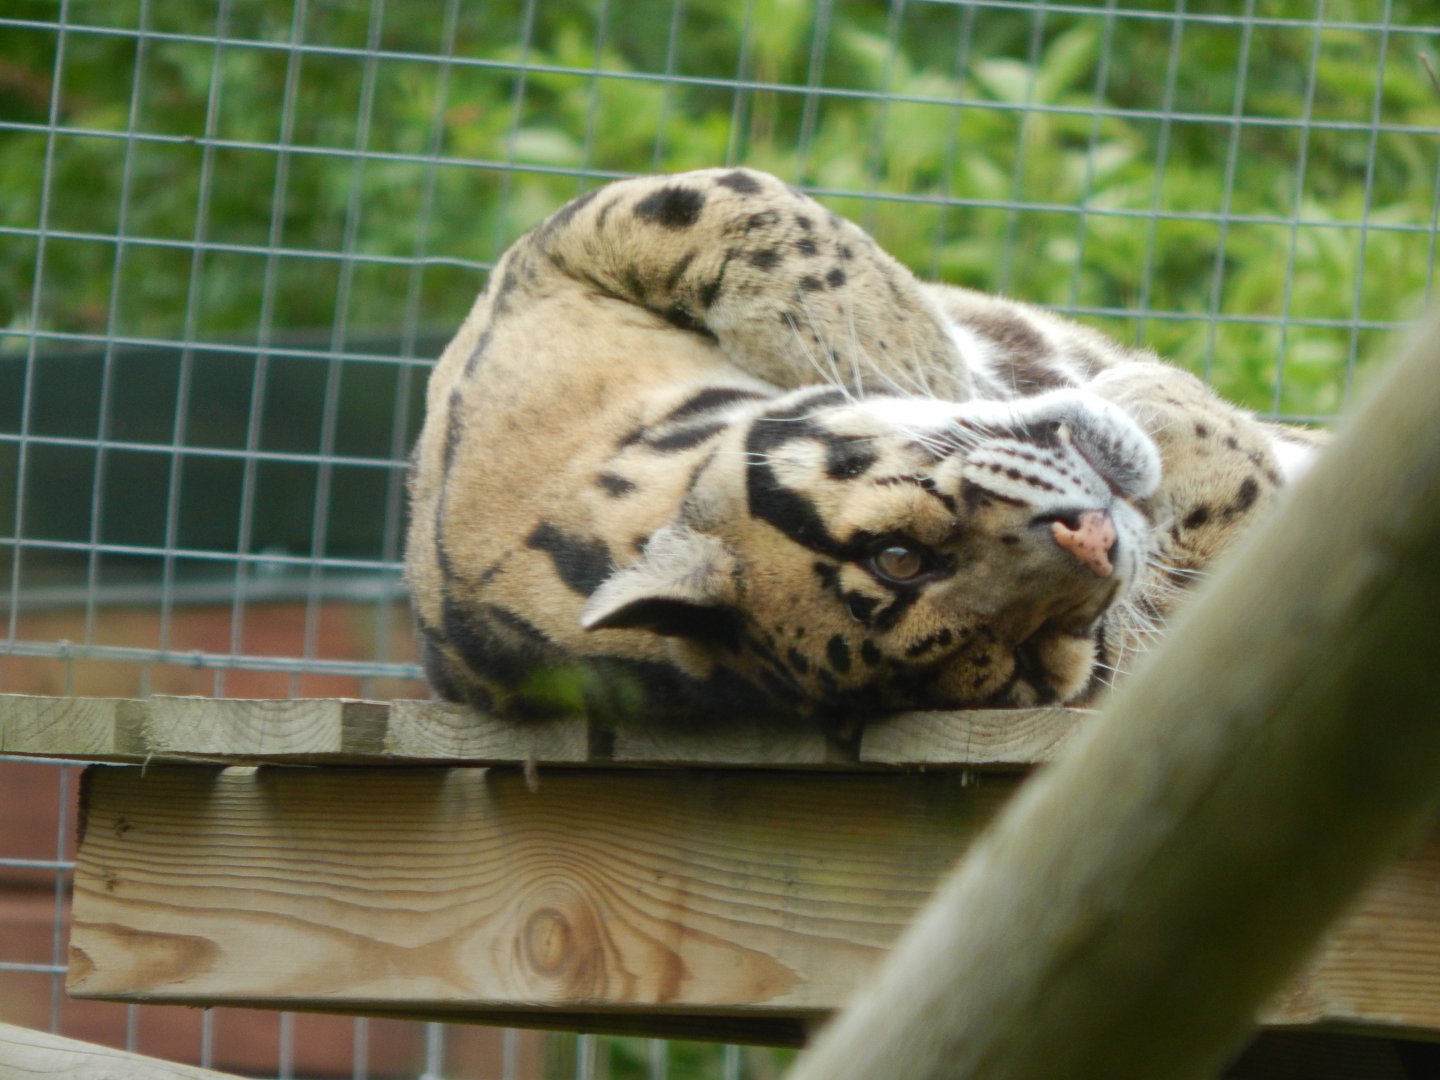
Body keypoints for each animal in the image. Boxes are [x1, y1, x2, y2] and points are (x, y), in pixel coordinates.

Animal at [405, 167, 1322, 728]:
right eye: (1032, 657)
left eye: (896, 553)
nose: (1098, 539)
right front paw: (1170, 419)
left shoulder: (542, 266)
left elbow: (744, 212)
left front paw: (919, 351)